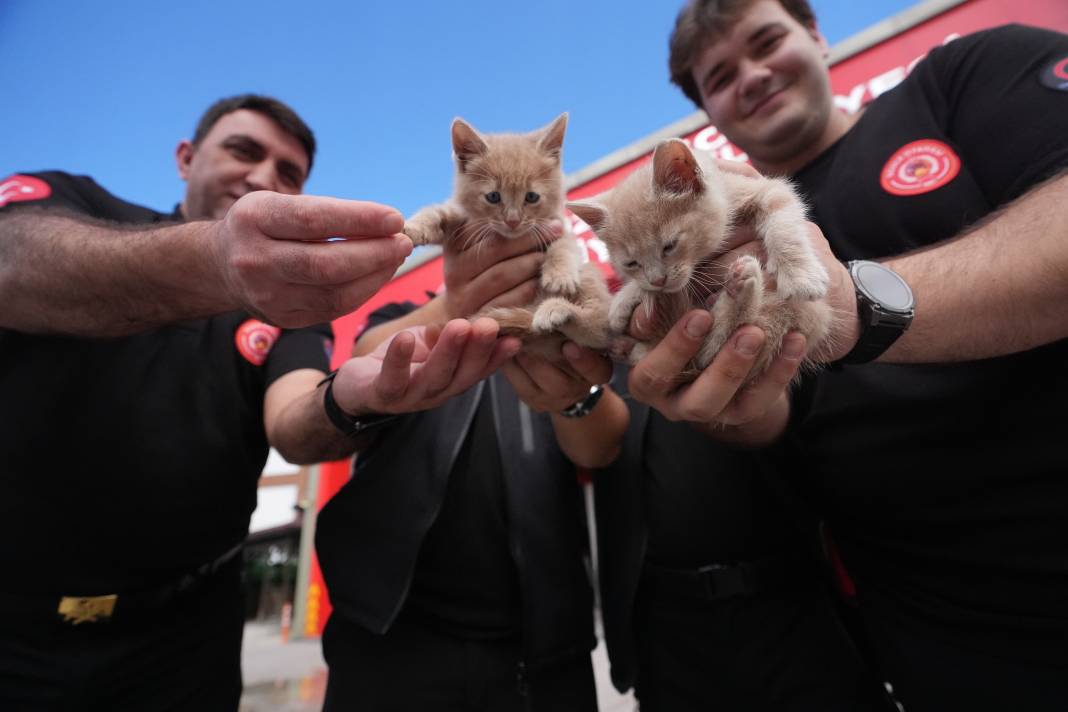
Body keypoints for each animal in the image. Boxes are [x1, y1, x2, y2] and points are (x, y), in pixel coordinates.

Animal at [568, 138, 833, 382]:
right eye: (631, 263)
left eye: (669, 245)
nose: (658, 280)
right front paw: (624, 300)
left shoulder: (766, 190)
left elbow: (783, 224)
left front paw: (799, 275)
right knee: (703, 357)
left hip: (802, 313)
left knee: (714, 351)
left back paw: (740, 290)